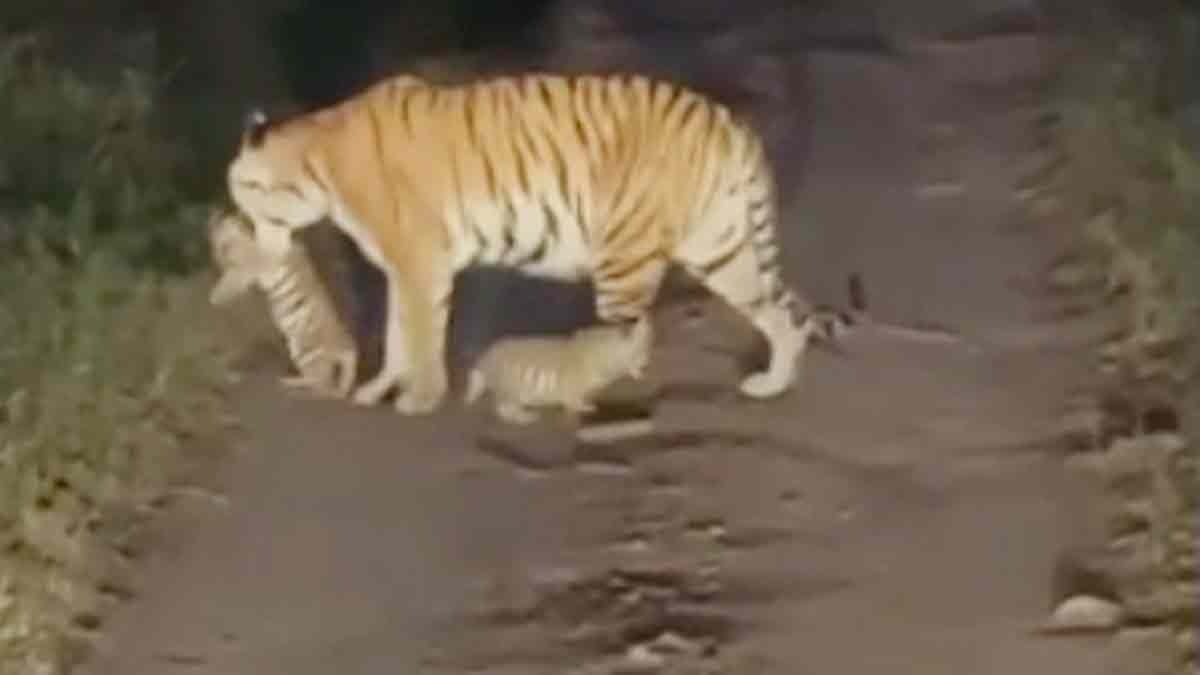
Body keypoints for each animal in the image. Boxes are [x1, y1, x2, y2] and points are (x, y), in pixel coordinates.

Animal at [206, 208, 358, 399]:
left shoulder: (256, 267)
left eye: (222, 244)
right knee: (329, 386)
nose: (217, 256)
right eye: (214, 243)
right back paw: (293, 381)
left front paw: (217, 296)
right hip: (299, 349)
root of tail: (347, 345)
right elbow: (230, 277)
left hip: (308, 351)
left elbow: (238, 274)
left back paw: (296, 386)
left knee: (325, 387)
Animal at [464, 317, 652, 425]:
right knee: (503, 408)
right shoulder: (572, 388)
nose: (646, 364)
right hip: (511, 389)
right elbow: (573, 401)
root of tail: (484, 359)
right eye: (639, 353)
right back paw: (521, 416)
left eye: (647, 350)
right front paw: (581, 407)